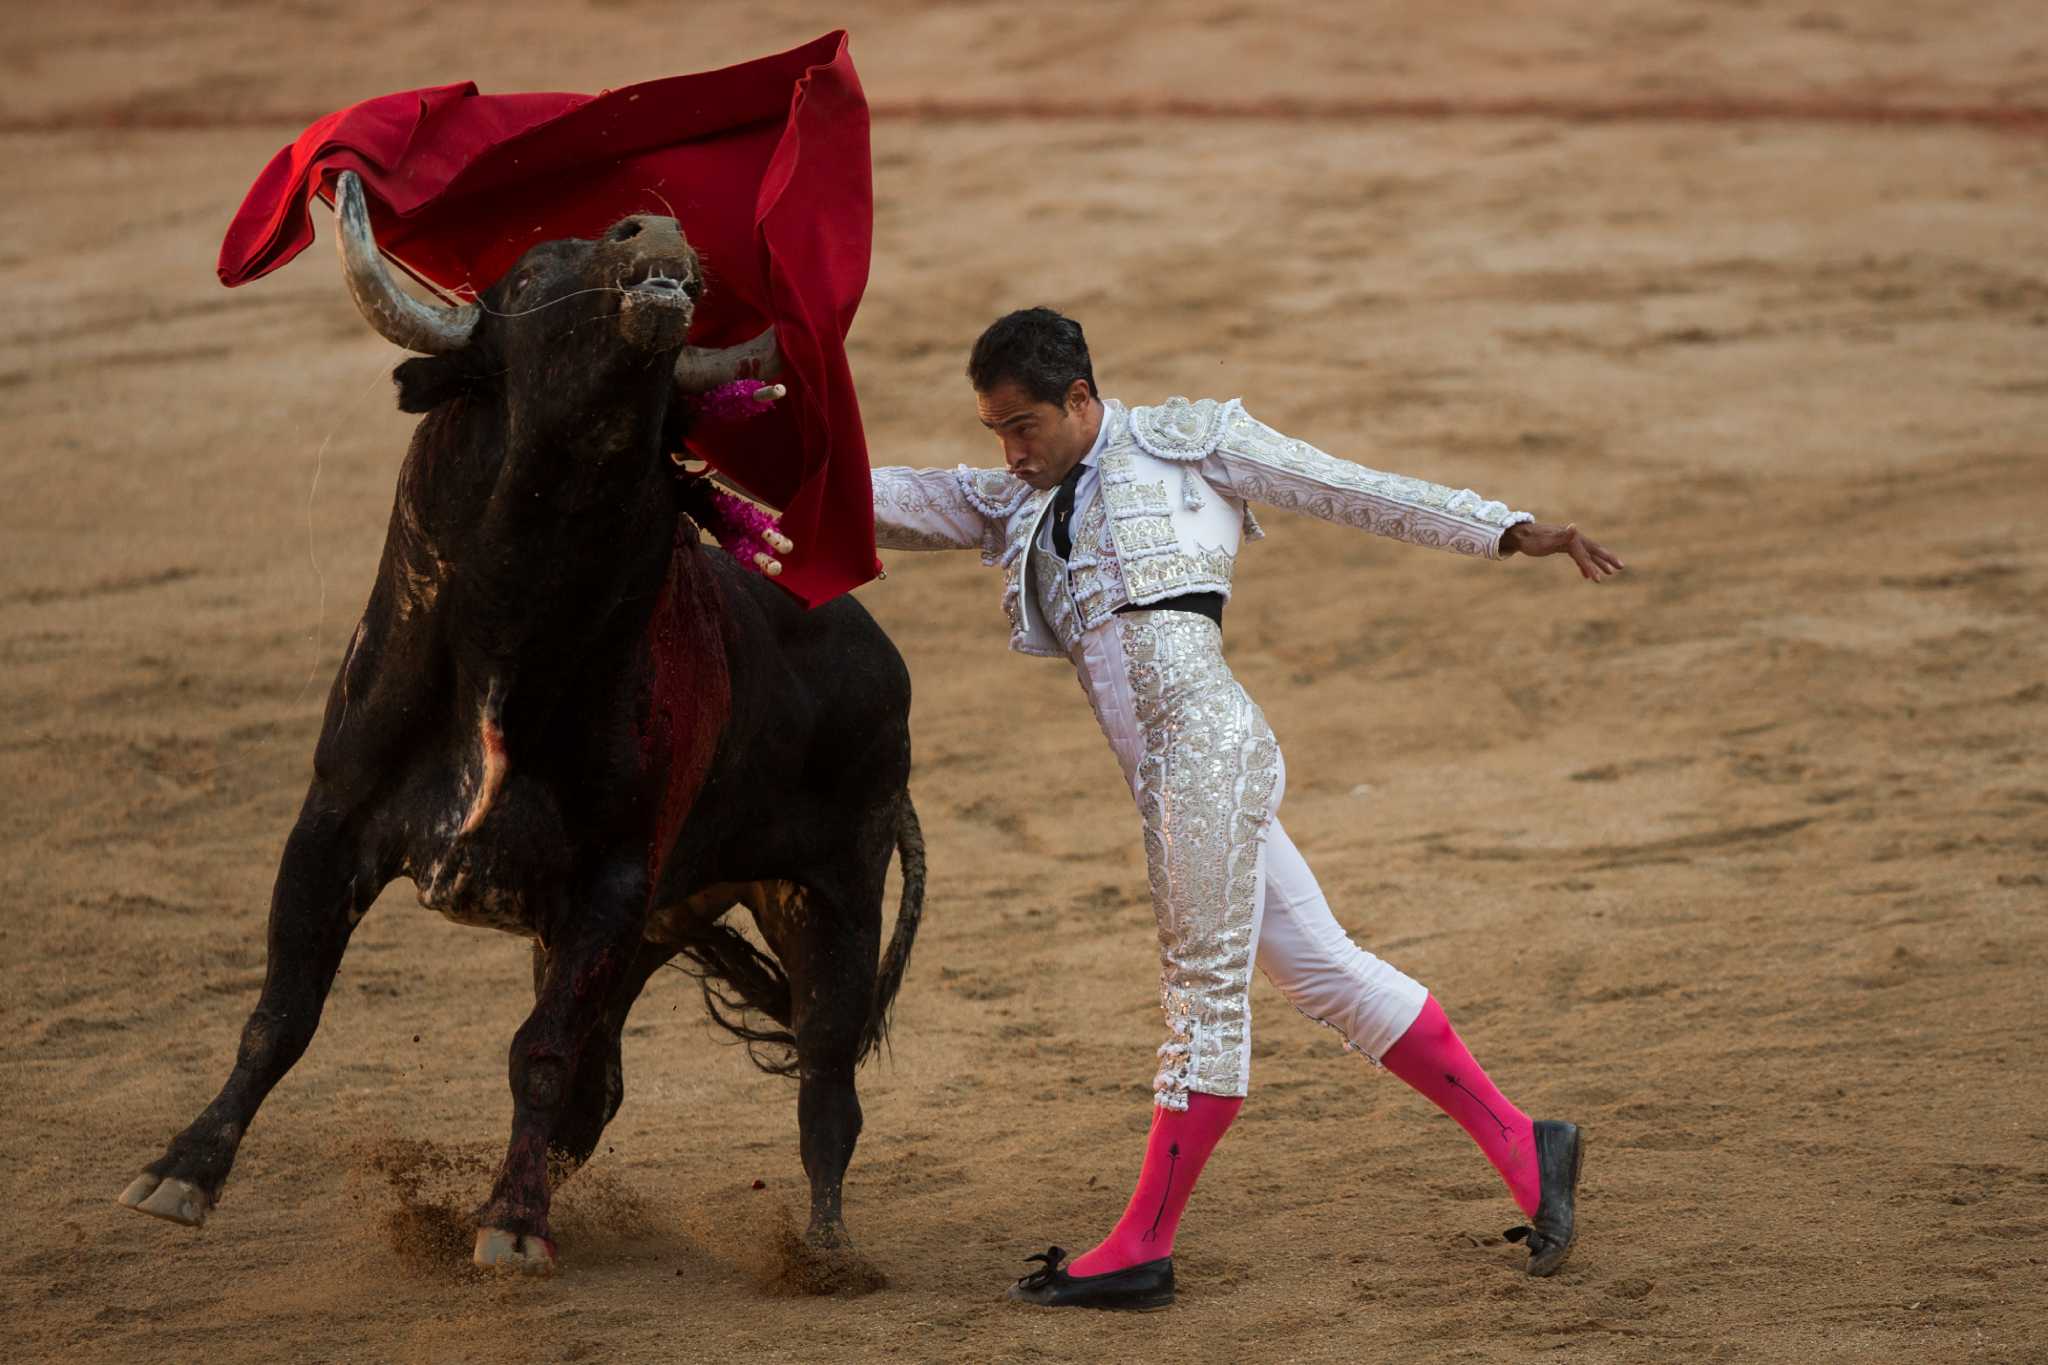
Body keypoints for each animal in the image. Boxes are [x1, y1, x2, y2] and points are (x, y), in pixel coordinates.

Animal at [114, 173, 929, 1285]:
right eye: (536, 272)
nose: (658, 227)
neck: (518, 620)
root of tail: (882, 656)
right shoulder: (332, 823)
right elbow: (281, 1014)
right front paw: (180, 1174)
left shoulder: (613, 878)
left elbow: (536, 1054)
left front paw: (511, 1223)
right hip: (655, 926)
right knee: (607, 1085)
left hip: (827, 895)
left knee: (823, 1085)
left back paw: (826, 1254)